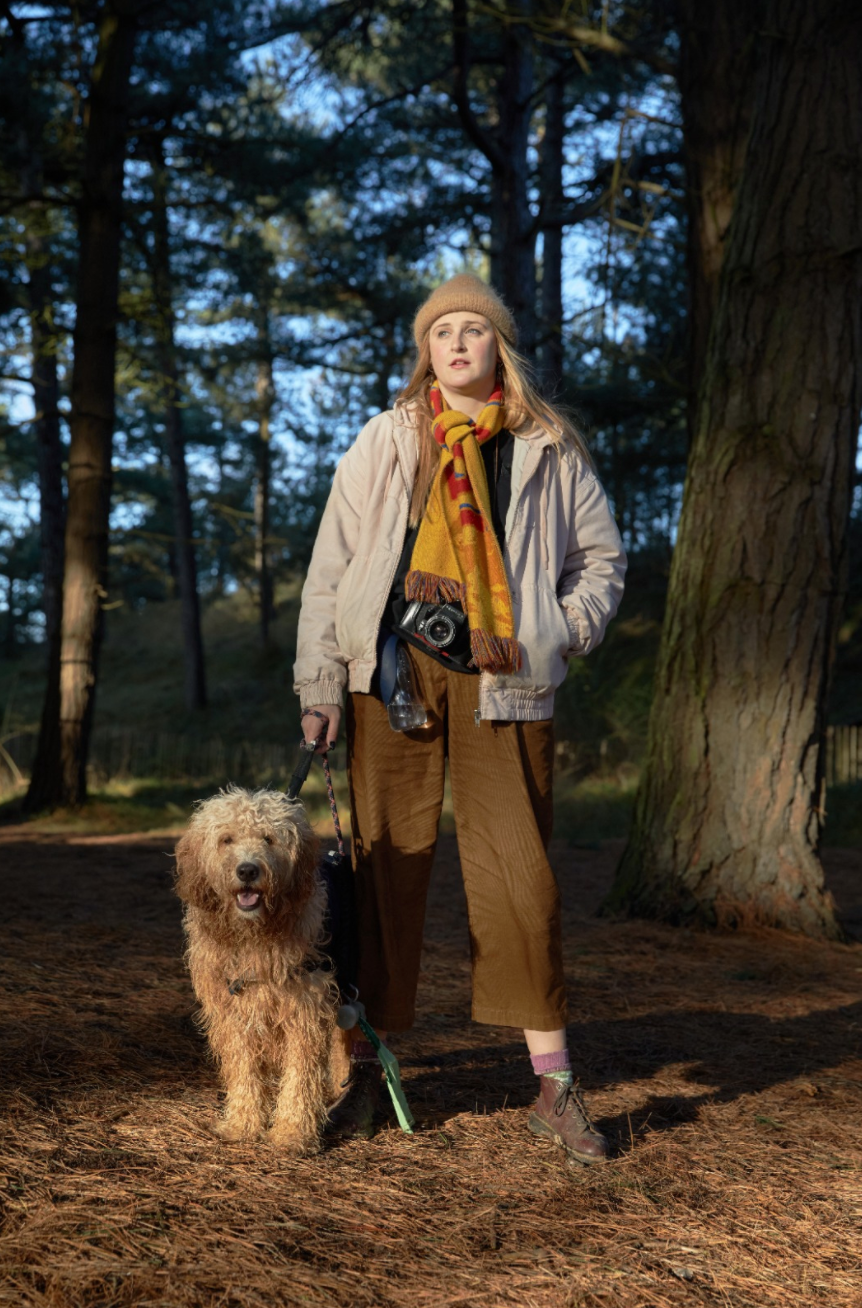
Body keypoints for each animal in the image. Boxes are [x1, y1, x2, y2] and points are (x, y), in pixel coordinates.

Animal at [174, 785, 346, 1154]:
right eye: (226, 839)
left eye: (269, 838)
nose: (248, 871)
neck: (254, 936)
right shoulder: (233, 1013)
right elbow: (244, 1071)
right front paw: (243, 1124)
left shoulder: (305, 1009)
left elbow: (300, 1076)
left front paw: (293, 1133)